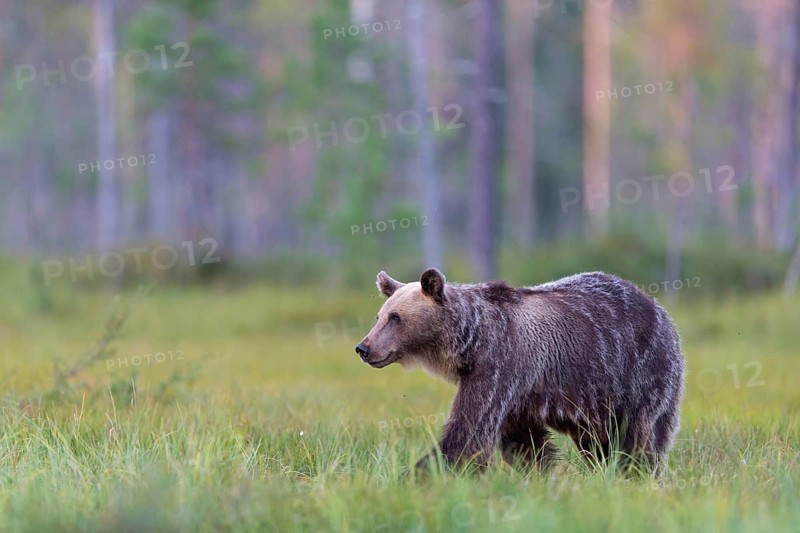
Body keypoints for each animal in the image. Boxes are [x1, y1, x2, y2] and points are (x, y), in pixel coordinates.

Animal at [355, 268, 685, 473]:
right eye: (379, 316)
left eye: (395, 317)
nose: (364, 347)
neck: (471, 340)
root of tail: (660, 308)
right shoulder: (517, 395)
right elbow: (524, 443)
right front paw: (540, 473)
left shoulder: (501, 365)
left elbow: (470, 430)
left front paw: (416, 475)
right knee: (598, 443)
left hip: (641, 372)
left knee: (642, 435)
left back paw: (638, 472)